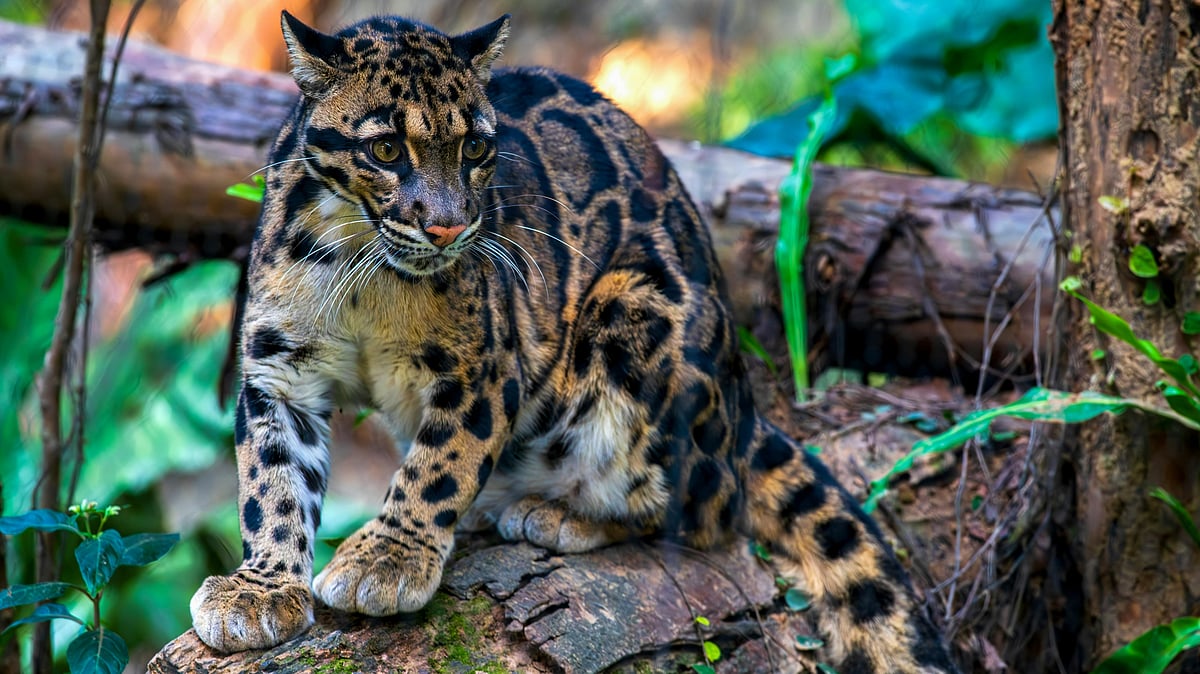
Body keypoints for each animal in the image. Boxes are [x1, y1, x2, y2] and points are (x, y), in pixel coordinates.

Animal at [188, 10, 960, 673]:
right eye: (384, 149)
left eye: (474, 148)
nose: (448, 227)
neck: (358, 262)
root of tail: (744, 411)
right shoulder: (277, 371)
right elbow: (270, 482)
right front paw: (262, 588)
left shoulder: (482, 368)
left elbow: (438, 465)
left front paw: (389, 558)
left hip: (630, 311)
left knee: (704, 508)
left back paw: (557, 512)